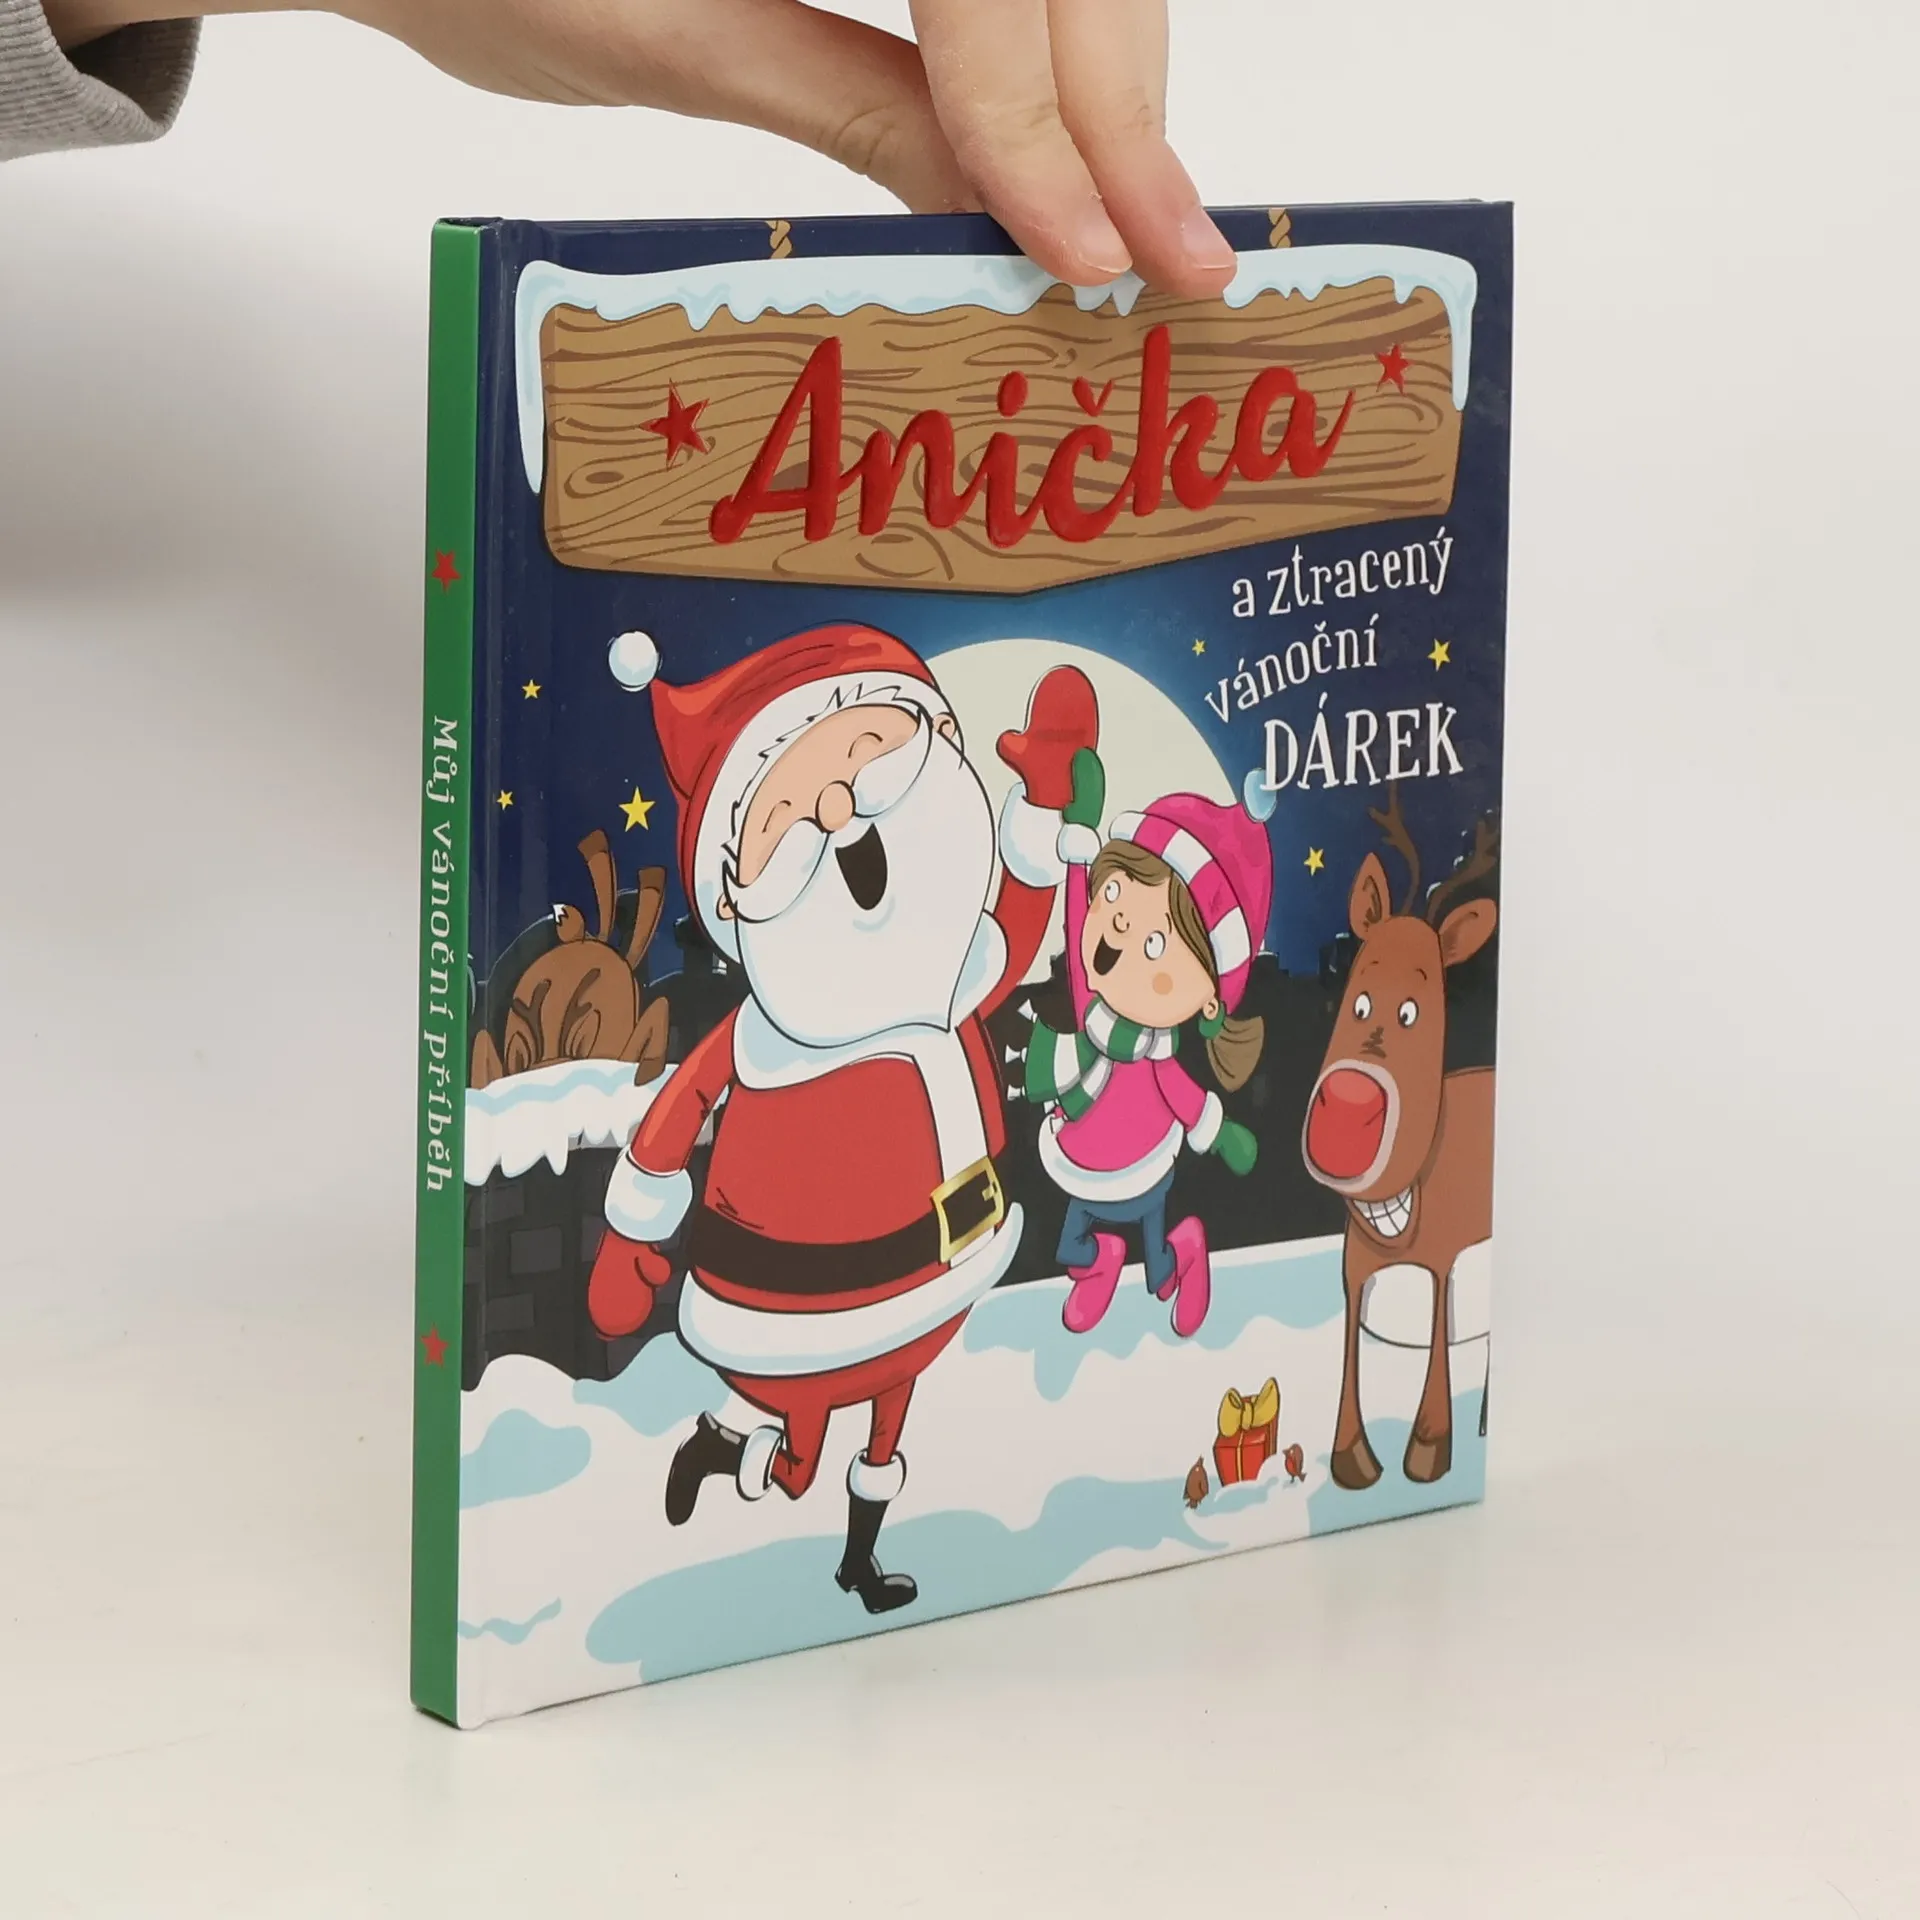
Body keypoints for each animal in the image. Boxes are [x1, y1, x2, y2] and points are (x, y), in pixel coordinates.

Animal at [1300, 790, 1499, 1489]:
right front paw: (1351, 1460)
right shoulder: (1353, 1272)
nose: (1346, 1111)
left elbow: (1439, 1339)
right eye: (1357, 1000)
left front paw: (1429, 1449)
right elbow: (1348, 1352)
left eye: (1414, 1011)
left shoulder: (1444, 1263)